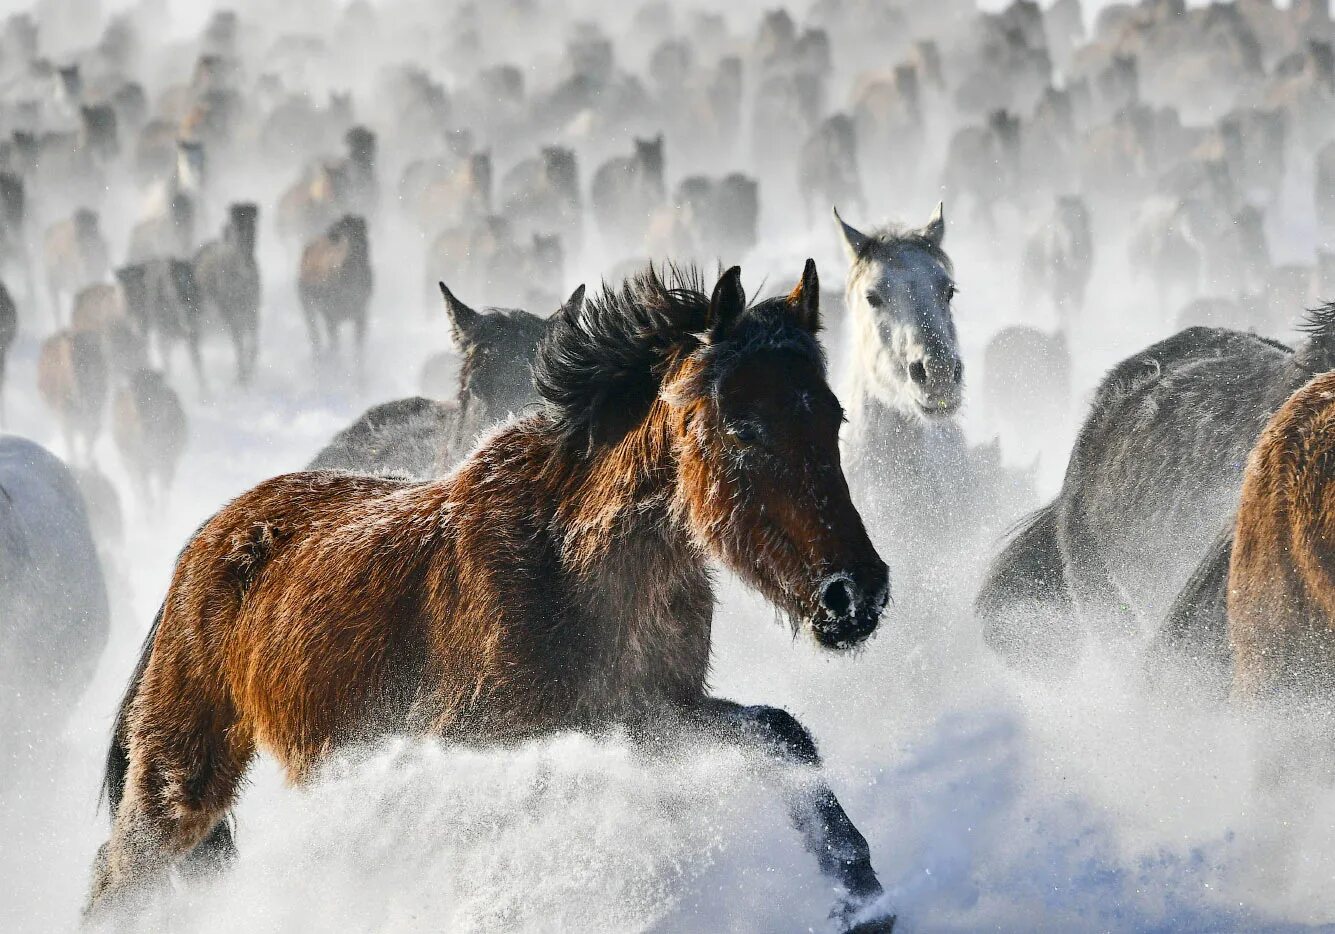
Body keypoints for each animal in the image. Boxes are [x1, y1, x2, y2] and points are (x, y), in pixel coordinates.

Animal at [86, 262, 897, 934]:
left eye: (832, 417)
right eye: (742, 426)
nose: (852, 595)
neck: (568, 565)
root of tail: (202, 546)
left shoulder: (646, 718)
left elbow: (782, 735)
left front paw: (861, 897)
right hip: (179, 782)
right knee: (115, 882)